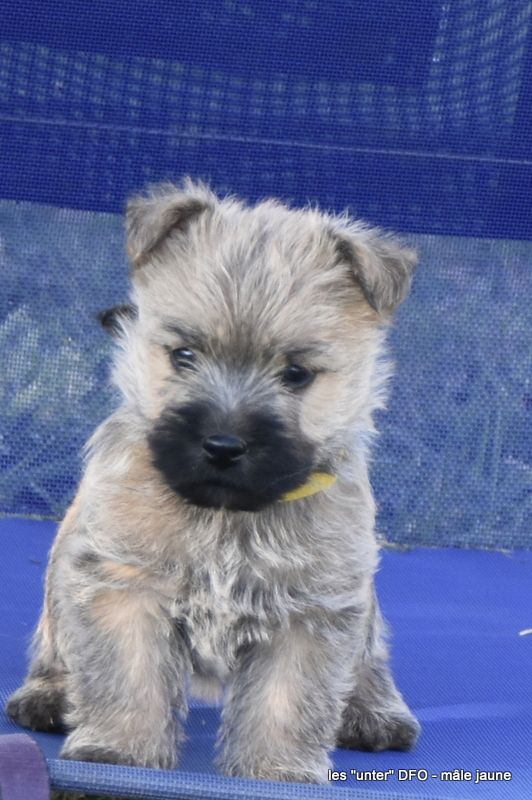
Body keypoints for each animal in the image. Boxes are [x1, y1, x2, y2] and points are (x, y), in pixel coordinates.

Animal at [6, 179, 420, 783]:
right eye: (183, 354)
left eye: (296, 373)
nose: (223, 444)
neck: (227, 515)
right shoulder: (123, 586)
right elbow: (125, 676)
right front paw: (120, 750)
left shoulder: (312, 610)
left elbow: (288, 699)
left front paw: (275, 771)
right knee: (56, 643)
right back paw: (48, 694)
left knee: (370, 655)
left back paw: (376, 711)